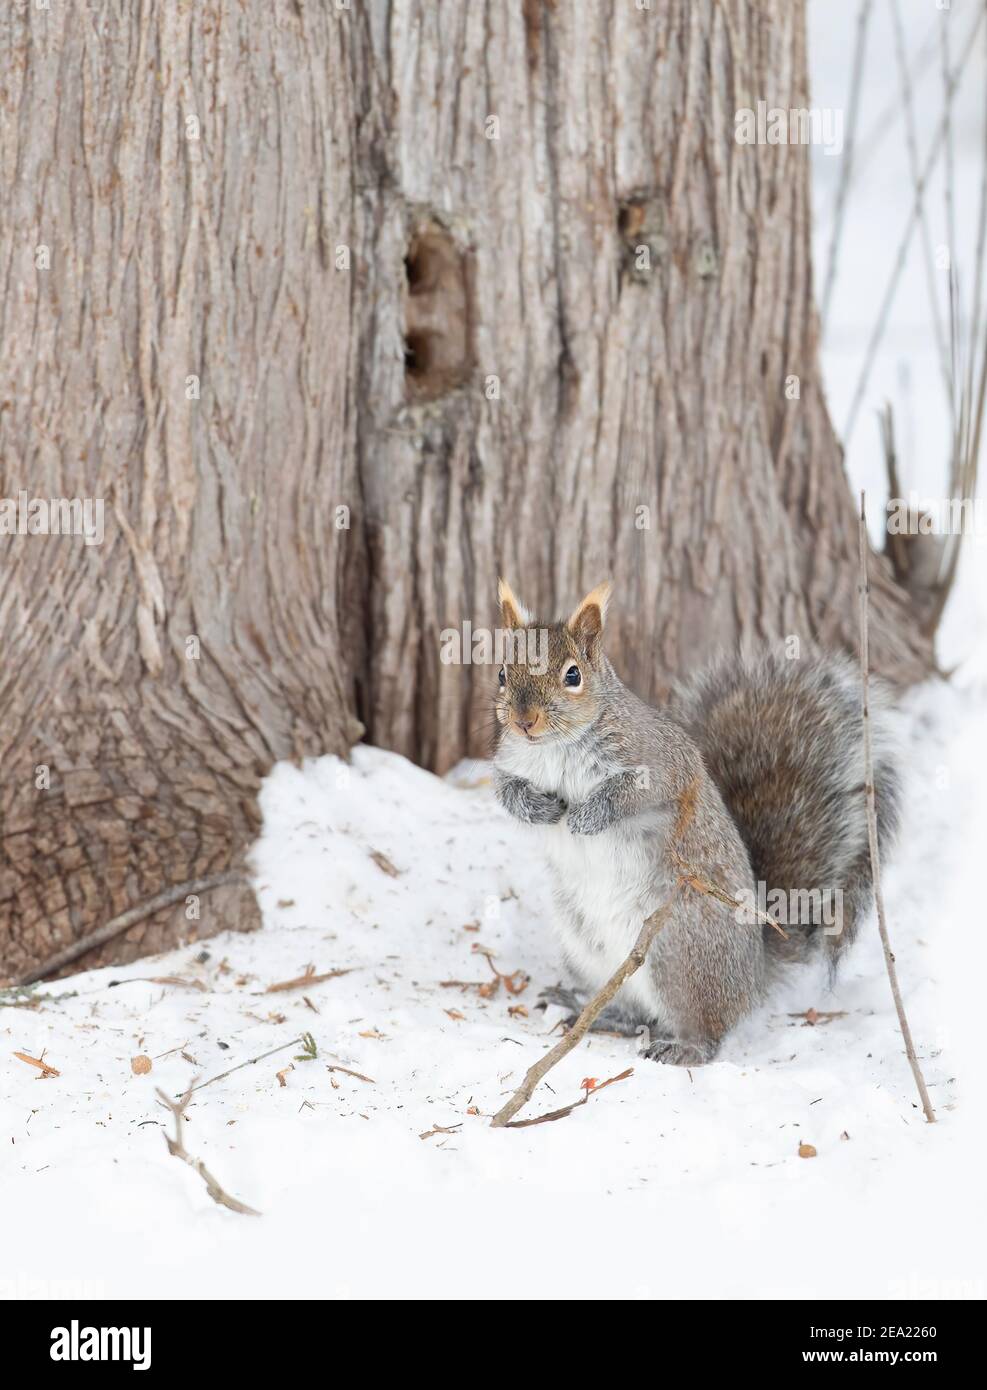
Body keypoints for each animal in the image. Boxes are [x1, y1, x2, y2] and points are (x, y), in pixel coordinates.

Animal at [492, 579, 901, 1066]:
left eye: (573, 675)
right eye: (502, 673)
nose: (524, 720)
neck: (555, 748)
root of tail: (753, 977)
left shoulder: (661, 762)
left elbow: (634, 793)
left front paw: (590, 814)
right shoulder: (509, 760)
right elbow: (505, 792)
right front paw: (538, 808)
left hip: (678, 953)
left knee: (708, 1029)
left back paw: (683, 1048)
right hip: (586, 947)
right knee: (632, 1006)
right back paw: (596, 1012)